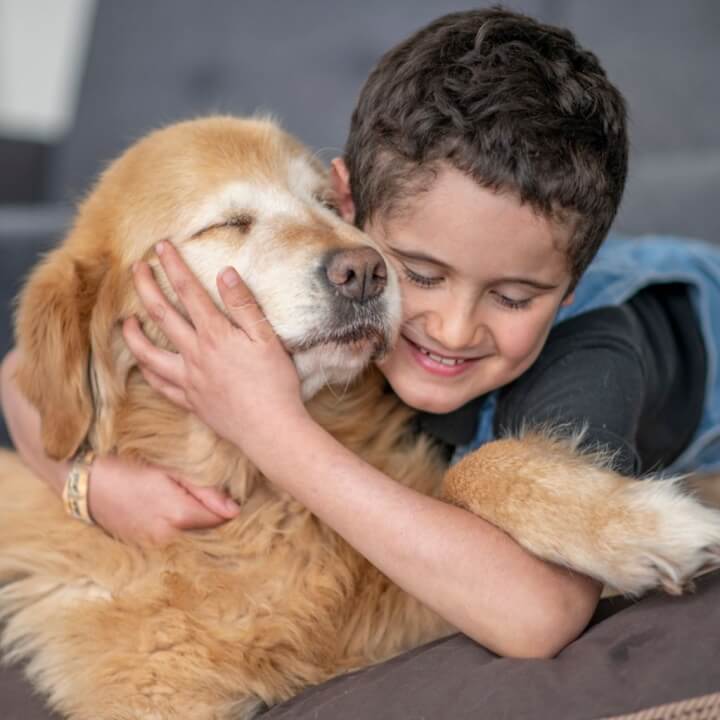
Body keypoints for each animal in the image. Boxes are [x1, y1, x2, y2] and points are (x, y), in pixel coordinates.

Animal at [1, 115, 720, 716]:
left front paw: (641, 523)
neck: (258, 499)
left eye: (327, 202)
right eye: (227, 224)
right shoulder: (152, 695)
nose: (366, 270)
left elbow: (475, 468)